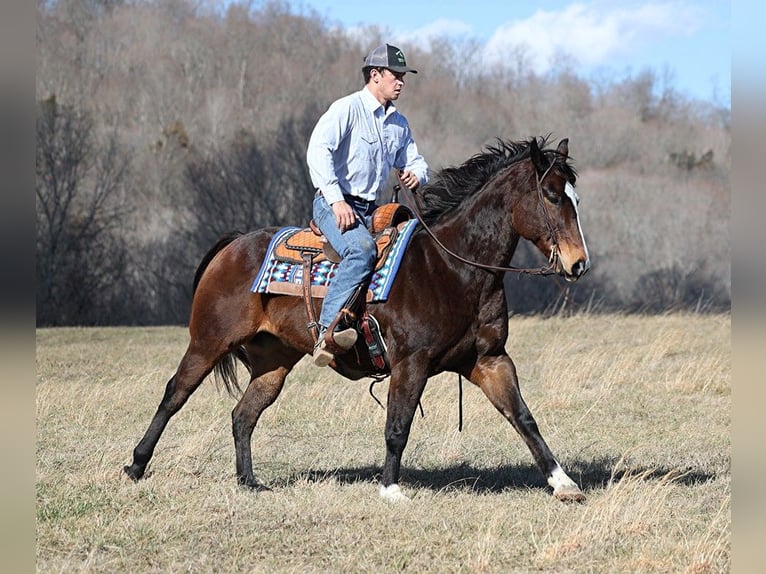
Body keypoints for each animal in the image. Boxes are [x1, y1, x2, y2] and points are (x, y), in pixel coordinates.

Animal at [124, 136, 592, 504]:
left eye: (576, 197)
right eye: (552, 196)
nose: (578, 264)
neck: (452, 266)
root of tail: (234, 243)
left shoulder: (490, 360)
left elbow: (523, 417)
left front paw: (563, 483)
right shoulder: (411, 363)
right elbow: (398, 426)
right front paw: (390, 489)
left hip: (273, 362)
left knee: (244, 414)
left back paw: (249, 482)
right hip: (207, 342)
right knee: (174, 394)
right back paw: (136, 465)